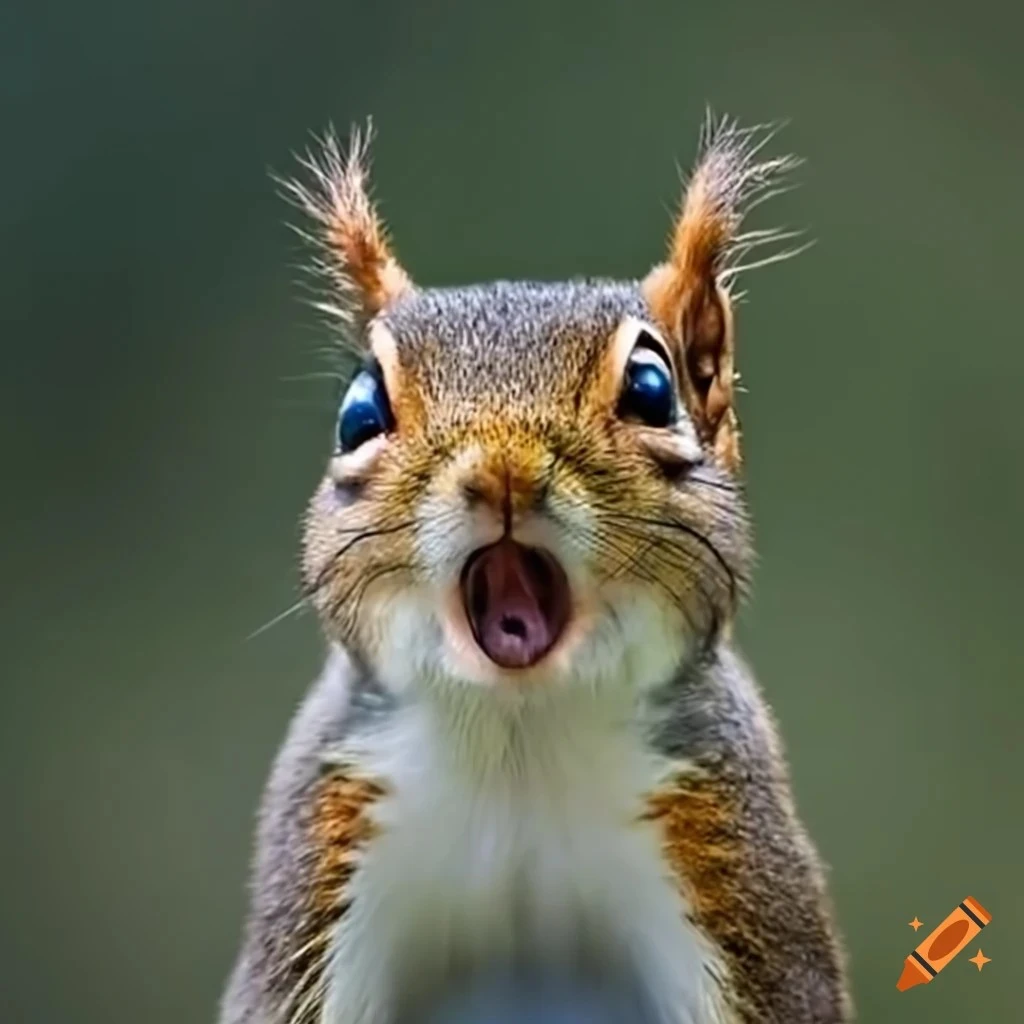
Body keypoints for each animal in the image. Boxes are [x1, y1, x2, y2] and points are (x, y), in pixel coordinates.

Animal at [218, 114, 852, 1024]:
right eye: (359, 413)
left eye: (652, 387)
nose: (503, 472)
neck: (519, 739)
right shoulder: (325, 838)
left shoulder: (728, 847)